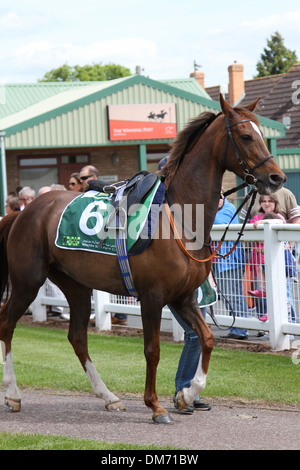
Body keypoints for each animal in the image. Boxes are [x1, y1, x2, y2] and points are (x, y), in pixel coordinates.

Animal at [0, 95, 286, 422]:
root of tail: (24, 211)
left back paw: (109, 396)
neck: (181, 215)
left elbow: (207, 339)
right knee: (7, 323)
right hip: (28, 280)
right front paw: (156, 405)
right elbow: (153, 350)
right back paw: (13, 393)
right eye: (246, 136)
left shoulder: (183, 296)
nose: (277, 177)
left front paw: (187, 395)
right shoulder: (153, 296)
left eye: (262, 135)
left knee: (77, 337)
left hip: (76, 285)